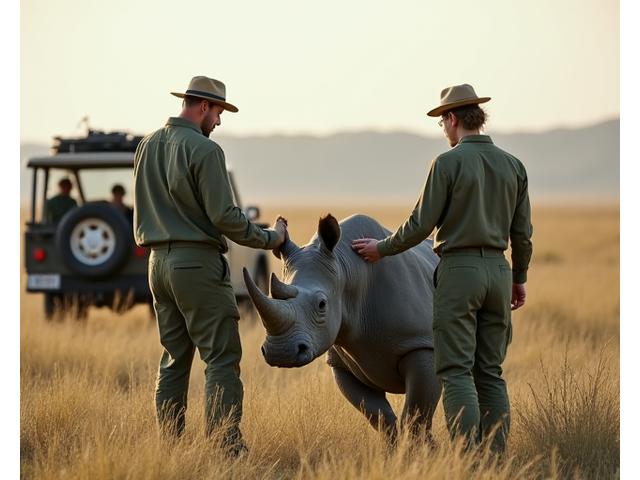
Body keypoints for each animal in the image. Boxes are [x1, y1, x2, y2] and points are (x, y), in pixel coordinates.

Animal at [243, 214, 442, 439]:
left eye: (322, 304)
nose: (280, 353)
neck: (347, 270)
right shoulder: (341, 364)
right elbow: (381, 418)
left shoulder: (422, 345)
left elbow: (416, 418)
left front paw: (420, 447)